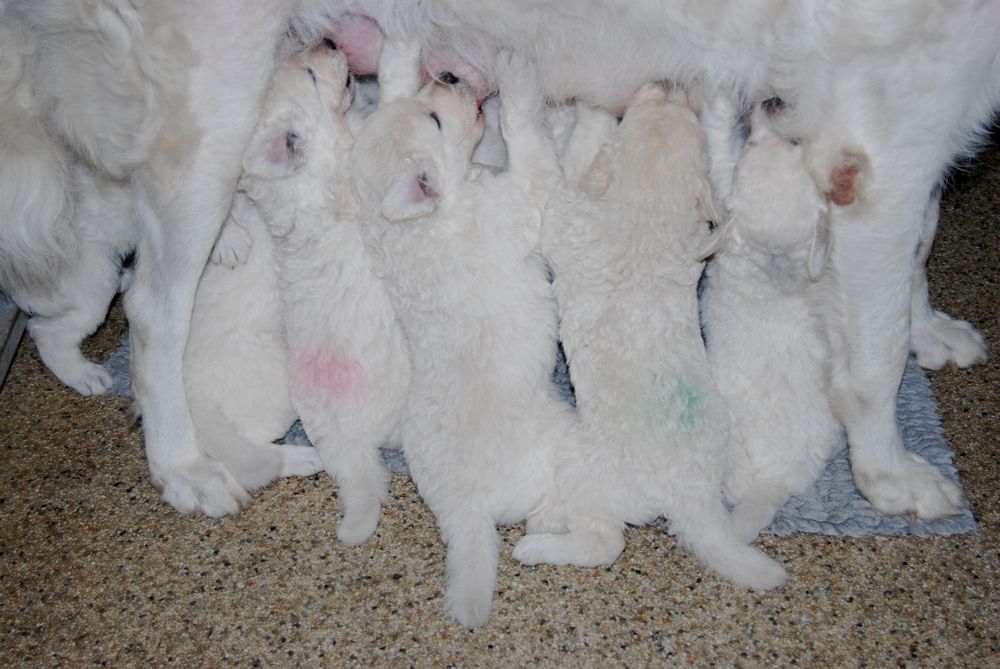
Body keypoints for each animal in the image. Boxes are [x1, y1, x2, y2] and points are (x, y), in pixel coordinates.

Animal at [348, 53, 576, 627]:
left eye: (422, 103)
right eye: (433, 120)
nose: (449, 77)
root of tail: (467, 511)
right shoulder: (520, 195)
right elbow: (526, 137)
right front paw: (515, 75)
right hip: (558, 436)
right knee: (549, 510)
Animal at [513, 84, 786, 591]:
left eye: (635, 115)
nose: (667, 85)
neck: (649, 210)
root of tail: (690, 495)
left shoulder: (564, 215)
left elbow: (561, 168)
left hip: (579, 464)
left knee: (603, 543)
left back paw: (538, 540)